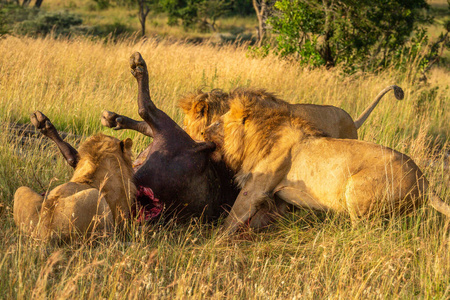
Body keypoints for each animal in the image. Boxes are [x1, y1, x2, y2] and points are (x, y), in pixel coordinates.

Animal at [203, 95, 450, 233]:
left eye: (218, 122)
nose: (204, 132)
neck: (261, 135)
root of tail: (424, 181)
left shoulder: (255, 189)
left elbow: (232, 217)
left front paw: (213, 241)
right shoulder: (276, 198)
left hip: (356, 189)